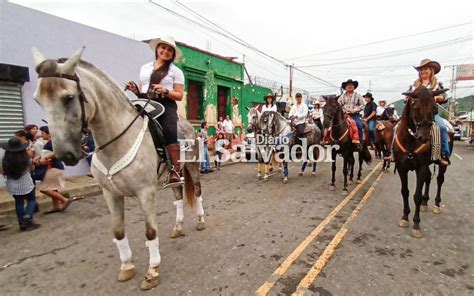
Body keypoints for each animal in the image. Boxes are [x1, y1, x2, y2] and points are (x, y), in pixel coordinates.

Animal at [31, 47, 206, 290]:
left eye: (68, 97)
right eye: (37, 99)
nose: (65, 154)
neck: (116, 141)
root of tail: (189, 124)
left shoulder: (145, 192)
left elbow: (150, 232)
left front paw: (152, 272)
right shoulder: (110, 194)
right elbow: (118, 231)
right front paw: (127, 267)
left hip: (192, 167)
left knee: (197, 191)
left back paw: (200, 221)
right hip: (173, 175)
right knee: (178, 195)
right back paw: (178, 227)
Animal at [392, 85, 448, 238]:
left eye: (435, 109)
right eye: (415, 107)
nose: (424, 138)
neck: (411, 140)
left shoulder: (420, 168)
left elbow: (416, 196)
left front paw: (416, 224)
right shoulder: (402, 168)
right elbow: (405, 191)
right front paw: (405, 218)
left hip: (442, 164)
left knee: (439, 180)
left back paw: (436, 204)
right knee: (428, 178)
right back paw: (425, 202)